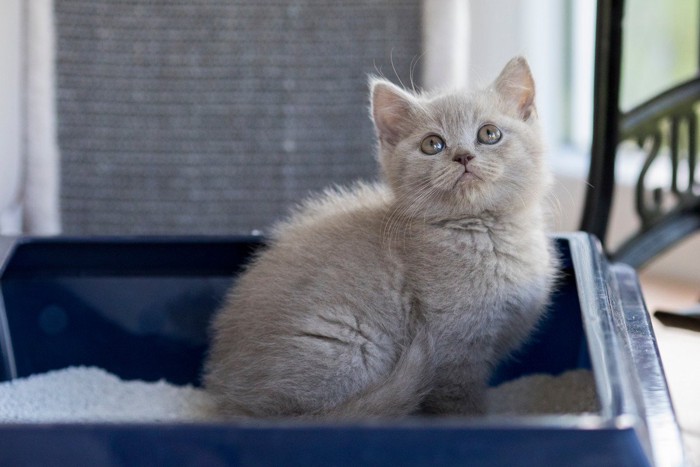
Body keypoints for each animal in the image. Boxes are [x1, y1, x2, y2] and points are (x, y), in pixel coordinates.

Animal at [204, 56, 556, 418]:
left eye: (489, 134)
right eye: (433, 144)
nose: (462, 155)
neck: (485, 232)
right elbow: (459, 405)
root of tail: (232, 403)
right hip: (353, 342)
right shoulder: (454, 353)